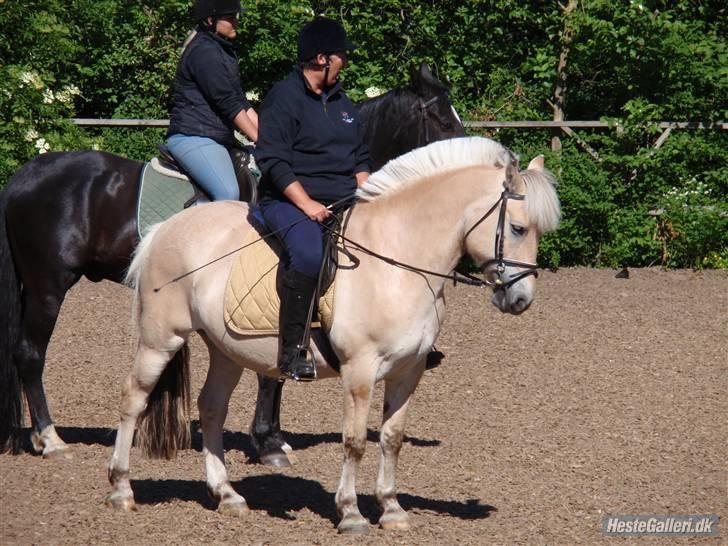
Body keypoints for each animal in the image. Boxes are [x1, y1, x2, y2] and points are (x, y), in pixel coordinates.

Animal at [0, 63, 464, 460]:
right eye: (443, 122)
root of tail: (24, 175)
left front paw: (272, 435)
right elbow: (273, 362)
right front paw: (268, 440)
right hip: (48, 286)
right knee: (29, 354)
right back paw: (50, 437)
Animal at [109, 136, 564, 532]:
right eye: (519, 228)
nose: (521, 299)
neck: (398, 260)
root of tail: (165, 227)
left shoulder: (409, 370)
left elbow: (392, 438)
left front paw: (392, 509)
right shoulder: (360, 371)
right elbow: (355, 441)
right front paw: (351, 513)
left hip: (225, 350)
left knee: (212, 408)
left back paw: (226, 495)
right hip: (161, 339)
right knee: (134, 399)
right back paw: (121, 489)